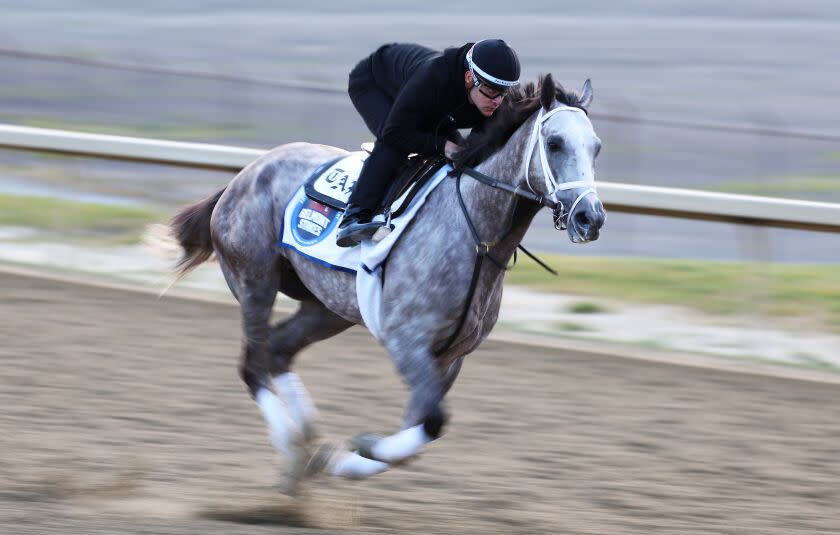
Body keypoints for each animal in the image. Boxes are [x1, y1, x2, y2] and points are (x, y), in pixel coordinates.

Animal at [159, 76, 604, 494]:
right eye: (555, 143)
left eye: (596, 147)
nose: (591, 218)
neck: (474, 232)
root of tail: (246, 173)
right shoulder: (406, 341)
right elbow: (431, 423)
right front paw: (351, 454)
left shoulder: (450, 356)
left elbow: (418, 431)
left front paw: (347, 456)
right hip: (255, 281)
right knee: (253, 365)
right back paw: (291, 449)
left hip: (327, 307)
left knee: (279, 350)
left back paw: (305, 447)